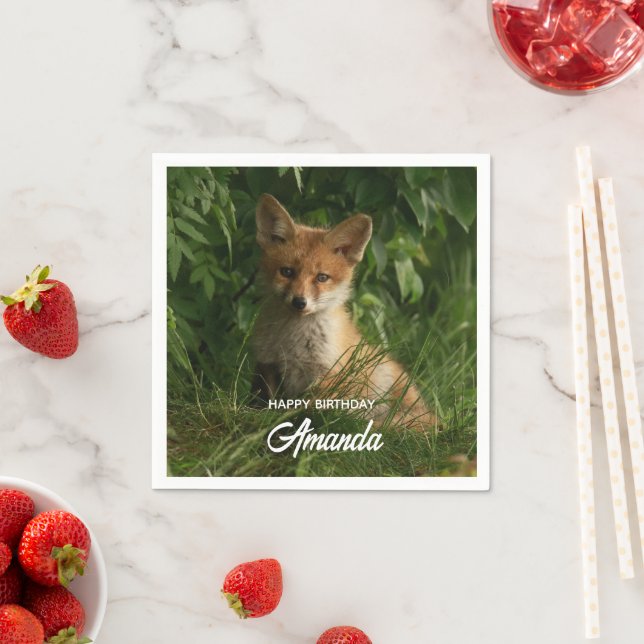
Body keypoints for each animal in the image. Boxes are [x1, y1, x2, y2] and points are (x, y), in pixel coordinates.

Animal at [251, 193, 436, 431]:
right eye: (287, 272)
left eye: (322, 277)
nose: (299, 302)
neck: (293, 342)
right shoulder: (268, 364)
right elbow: (269, 401)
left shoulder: (328, 375)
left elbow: (309, 408)